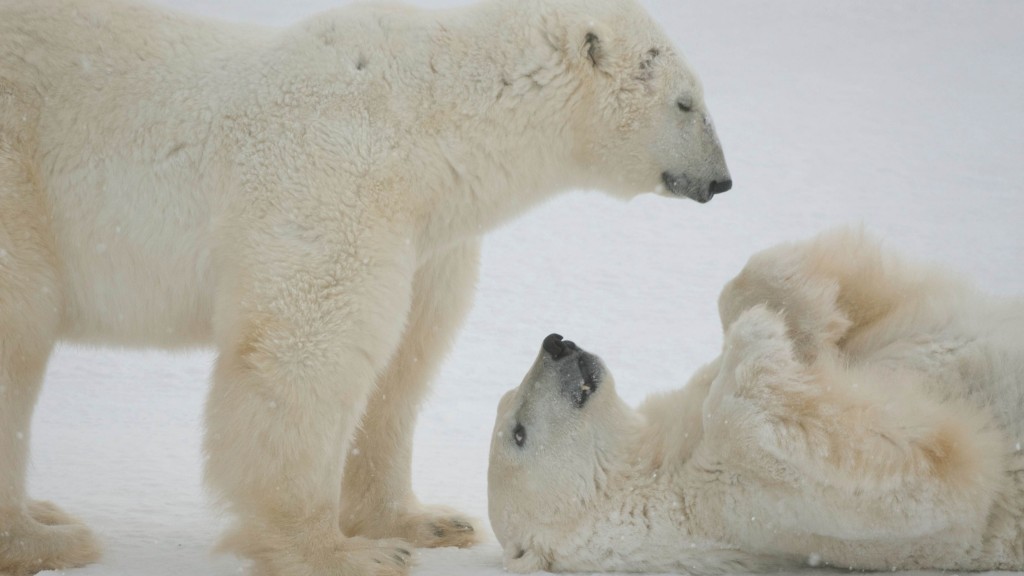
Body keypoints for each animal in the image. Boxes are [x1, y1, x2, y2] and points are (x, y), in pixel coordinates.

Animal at [0, 0, 729, 569]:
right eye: (686, 101)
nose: (722, 179)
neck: (428, 120)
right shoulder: (333, 181)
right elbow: (306, 351)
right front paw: (340, 551)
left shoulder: (427, 236)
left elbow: (405, 359)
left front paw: (427, 522)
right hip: (21, 190)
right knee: (21, 335)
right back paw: (49, 539)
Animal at [489, 226, 1024, 569]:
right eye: (518, 433)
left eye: (506, 401)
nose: (556, 343)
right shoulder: (738, 505)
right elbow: (932, 475)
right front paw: (759, 333)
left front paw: (795, 309)